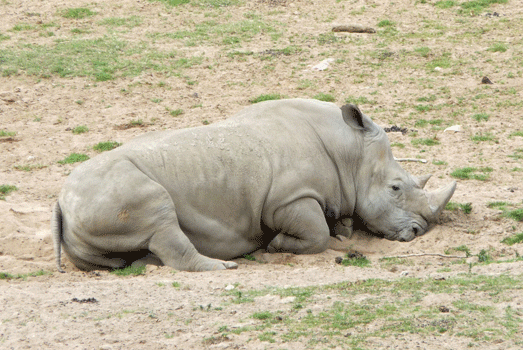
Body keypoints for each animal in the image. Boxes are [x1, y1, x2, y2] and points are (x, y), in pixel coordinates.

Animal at [51, 98, 456, 270]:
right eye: (396, 188)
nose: (419, 231)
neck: (348, 149)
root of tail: (60, 201)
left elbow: (334, 226)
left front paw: (343, 230)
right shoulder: (287, 199)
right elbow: (315, 236)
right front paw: (276, 245)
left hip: (91, 205)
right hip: (117, 188)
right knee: (160, 219)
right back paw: (225, 268)